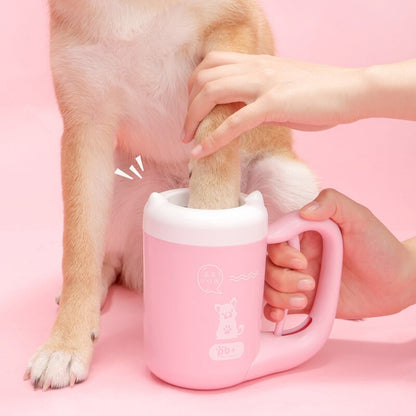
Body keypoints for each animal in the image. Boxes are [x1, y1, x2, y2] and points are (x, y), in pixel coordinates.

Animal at [25, 0, 318, 390]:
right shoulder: (86, 124)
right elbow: (79, 255)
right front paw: (65, 345)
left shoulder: (228, 45)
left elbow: (214, 168)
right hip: (117, 179)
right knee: (108, 259)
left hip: (290, 182)